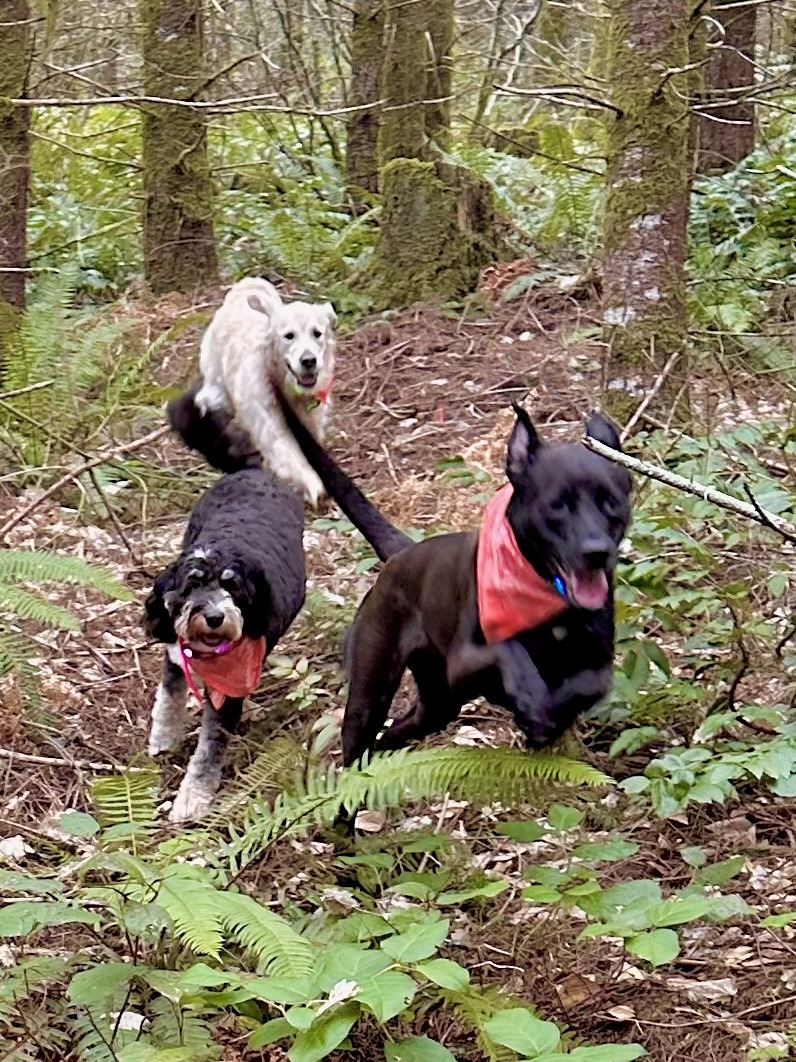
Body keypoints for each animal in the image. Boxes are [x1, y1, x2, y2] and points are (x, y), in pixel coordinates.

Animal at [145, 397, 303, 819]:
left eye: (233, 587)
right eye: (192, 584)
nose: (214, 617)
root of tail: (251, 472)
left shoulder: (228, 690)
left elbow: (210, 746)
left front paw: (192, 798)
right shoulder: (175, 653)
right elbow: (169, 698)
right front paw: (162, 737)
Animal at [198, 280, 339, 507]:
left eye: (317, 333)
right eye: (289, 336)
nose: (309, 360)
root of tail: (246, 284)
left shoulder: (310, 422)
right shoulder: (272, 426)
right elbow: (290, 455)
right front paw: (313, 485)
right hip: (216, 384)